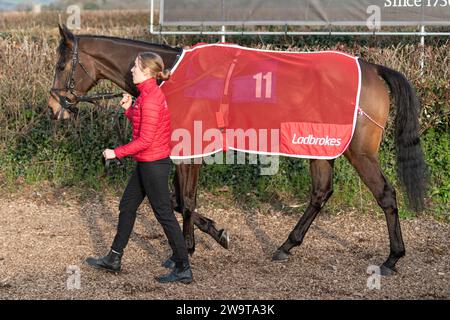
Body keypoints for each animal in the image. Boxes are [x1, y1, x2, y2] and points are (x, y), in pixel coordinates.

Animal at [47, 24, 428, 276]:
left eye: (61, 65)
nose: (54, 109)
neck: (175, 76)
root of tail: (374, 69)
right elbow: (176, 200)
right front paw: (212, 235)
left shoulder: (190, 150)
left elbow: (185, 201)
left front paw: (188, 250)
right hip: (317, 148)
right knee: (321, 192)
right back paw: (286, 247)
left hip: (359, 152)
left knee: (385, 194)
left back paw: (392, 259)